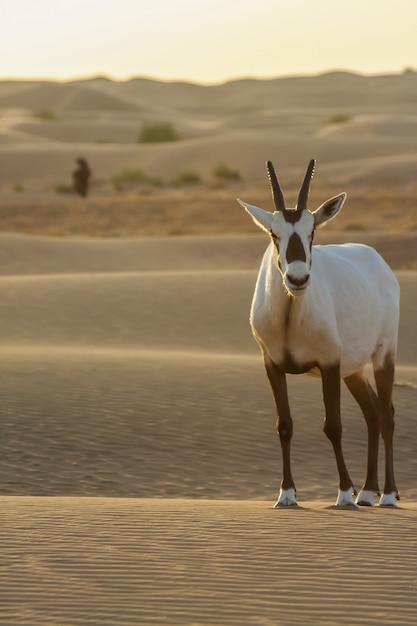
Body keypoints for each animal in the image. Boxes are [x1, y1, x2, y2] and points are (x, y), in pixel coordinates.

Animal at [237, 158, 400, 504]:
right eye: (274, 233)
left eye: (312, 231)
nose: (298, 279)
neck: (289, 318)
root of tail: (378, 261)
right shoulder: (272, 365)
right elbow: (284, 425)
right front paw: (286, 494)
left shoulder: (329, 363)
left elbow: (333, 426)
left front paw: (344, 494)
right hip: (353, 370)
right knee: (372, 414)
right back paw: (368, 491)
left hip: (383, 354)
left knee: (387, 415)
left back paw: (388, 495)